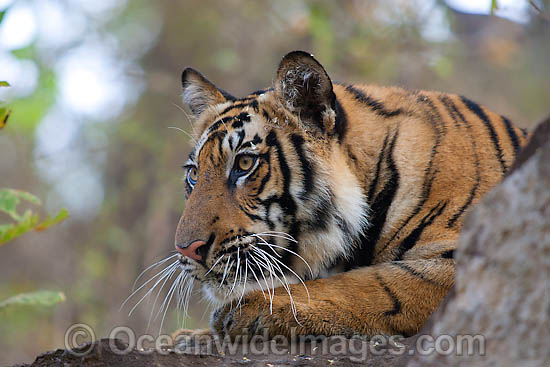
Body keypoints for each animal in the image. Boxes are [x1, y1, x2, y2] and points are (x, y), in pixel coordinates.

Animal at [171, 50, 532, 344]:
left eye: (245, 164)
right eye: (193, 174)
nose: (187, 248)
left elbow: (373, 284)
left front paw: (249, 310)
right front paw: (187, 336)